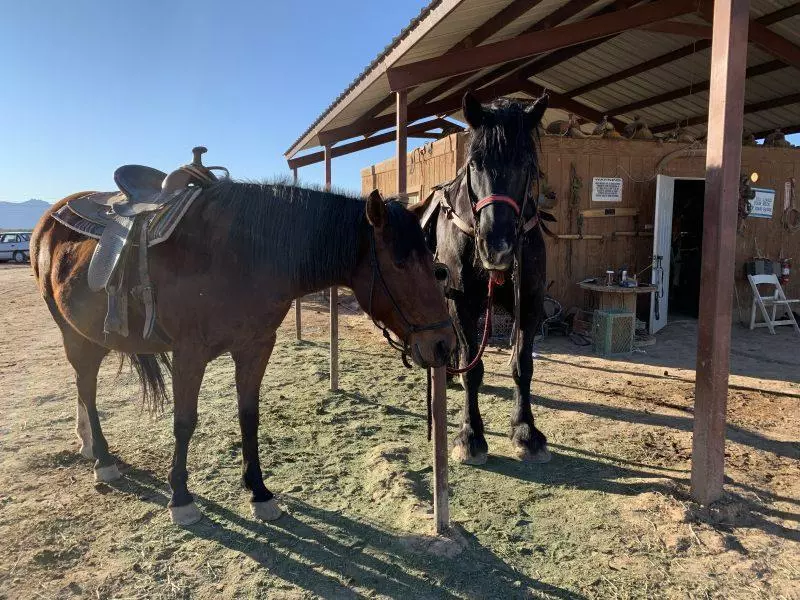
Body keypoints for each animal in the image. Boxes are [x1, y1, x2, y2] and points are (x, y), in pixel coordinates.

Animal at [32, 180, 456, 524]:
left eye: (434, 265)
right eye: (399, 263)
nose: (444, 344)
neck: (243, 254)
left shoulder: (255, 347)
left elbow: (249, 416)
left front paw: (259, 491)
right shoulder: (189, 354)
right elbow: (184, 422)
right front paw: (181, 497)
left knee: (83, 387)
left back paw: (88, 443)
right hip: (72, 334)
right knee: (86, 387)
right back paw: (103, 459)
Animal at [418, 92, 552, 464]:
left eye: (526, 164)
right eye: (475, 164)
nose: (497, 247)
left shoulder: (530, 301)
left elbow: (522, 365)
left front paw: (525, 431)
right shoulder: (463, 303)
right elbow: (473, 370)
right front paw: (471, 436)